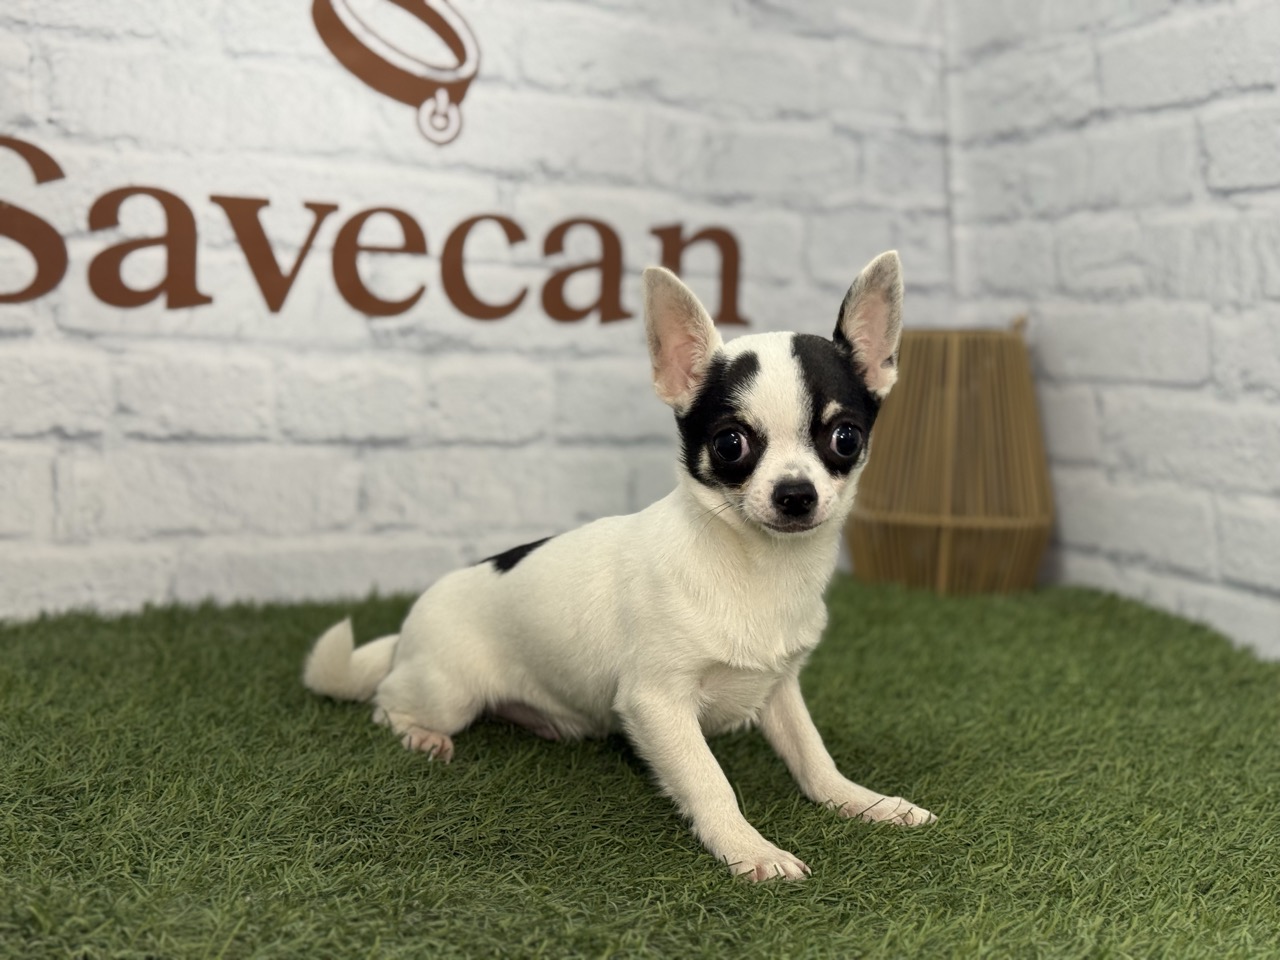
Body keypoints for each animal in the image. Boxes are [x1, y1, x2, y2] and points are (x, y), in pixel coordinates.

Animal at [303, 250, 935, 881]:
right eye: (730, 444)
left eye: (845, 438)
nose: (796, 494)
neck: (759, 567)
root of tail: (407, 634)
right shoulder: (657, 704)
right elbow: (710, 781)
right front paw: (749, 849)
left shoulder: (779, 690)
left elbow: (813, 756)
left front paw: (863, 802)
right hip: (448, 691)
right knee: (385, 704)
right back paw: (422, 737)